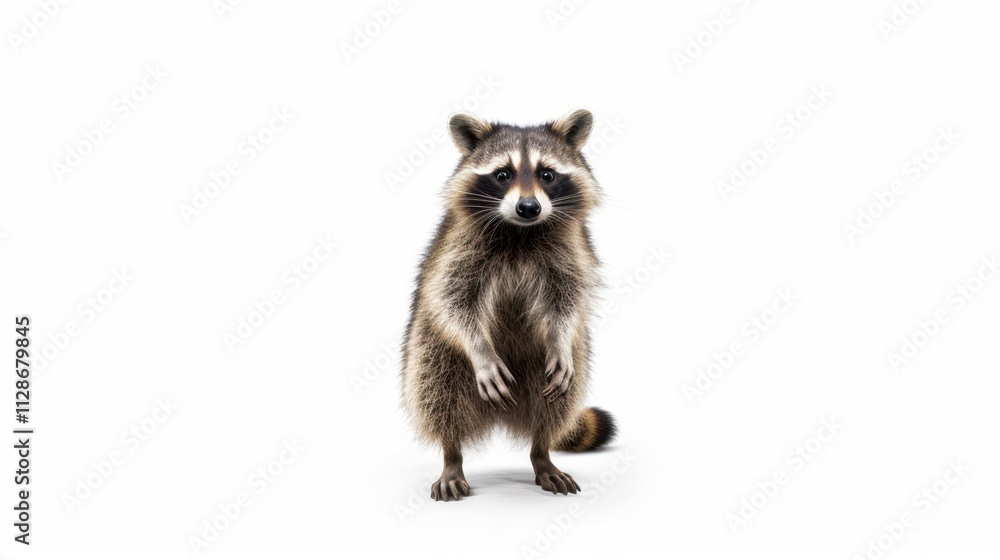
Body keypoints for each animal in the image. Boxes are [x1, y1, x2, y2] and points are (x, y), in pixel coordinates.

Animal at [401, 110, 616, 501]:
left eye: (547, 174)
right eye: (502, 175)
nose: (529, 207)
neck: (521, 232)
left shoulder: (573, 249)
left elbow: (569, 298)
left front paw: (560, 337)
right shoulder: (459, 247)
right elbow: (451, 299)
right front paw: (481, 350)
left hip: (555, 369)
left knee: (556, 403)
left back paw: (541, 451)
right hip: (428, 347)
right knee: (436, 392)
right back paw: (451, 453)